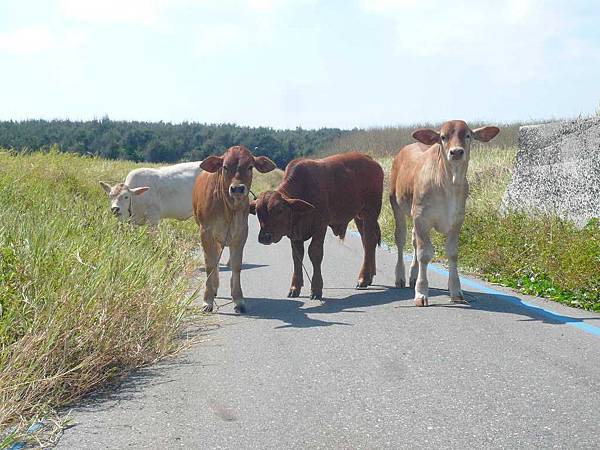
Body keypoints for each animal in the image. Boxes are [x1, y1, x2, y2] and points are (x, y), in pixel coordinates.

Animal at [192, 145, 276, 312]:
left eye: (250, 166)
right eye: (225, 167)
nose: (237, 189)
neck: (229, 208)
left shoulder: (241, 233)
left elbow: (236, 266)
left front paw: (238, 299)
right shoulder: (206, 232)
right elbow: (210, 264)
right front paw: (207, 300)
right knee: (214, 261)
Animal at [250, 153, 382, 300]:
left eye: (279, 210)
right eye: (257, 212)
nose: (265, 237)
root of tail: (369, 159)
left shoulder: (320, 226)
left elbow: (315, 253)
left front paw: (316, 288)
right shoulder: (295, 234)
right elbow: (297, 257)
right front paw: (295, 287)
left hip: (371, 212)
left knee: (370, 241)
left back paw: (363, 278)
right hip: (359, 217)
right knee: (366, 242)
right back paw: (368, 276)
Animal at [386, 120, 500, 306]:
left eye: (467, 135)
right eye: (443, 137)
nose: (456, 152)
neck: (448, 185)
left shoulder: (456, 220)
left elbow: (452, 254)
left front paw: (455, 290)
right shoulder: (421, 218)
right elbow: (425, 254)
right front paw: (421, 292)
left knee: (413, 241)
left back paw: (412, 275)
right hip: (396, 204)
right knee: (401, 239)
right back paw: (400, 277)